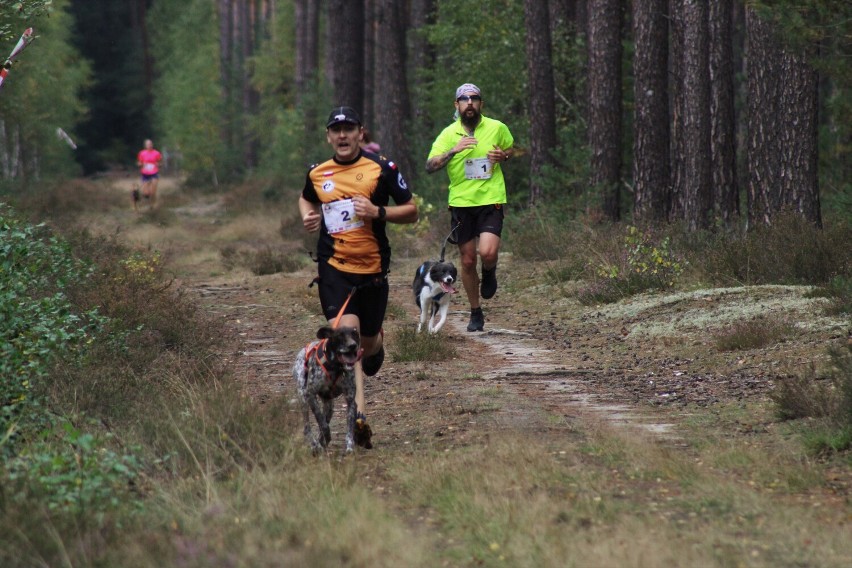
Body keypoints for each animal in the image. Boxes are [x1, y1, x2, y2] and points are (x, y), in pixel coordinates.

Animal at [292, 326, 362, 454]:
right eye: (340, 335)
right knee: (307, 427)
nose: (352, 345)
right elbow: (322, 422)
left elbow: (349, 427)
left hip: (329, 406)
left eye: (354, 334)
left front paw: (350, 446)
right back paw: (315, 445)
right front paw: (326, 437)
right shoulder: (310, 395)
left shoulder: (350, 401)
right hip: (303, 397)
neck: (335, 367)